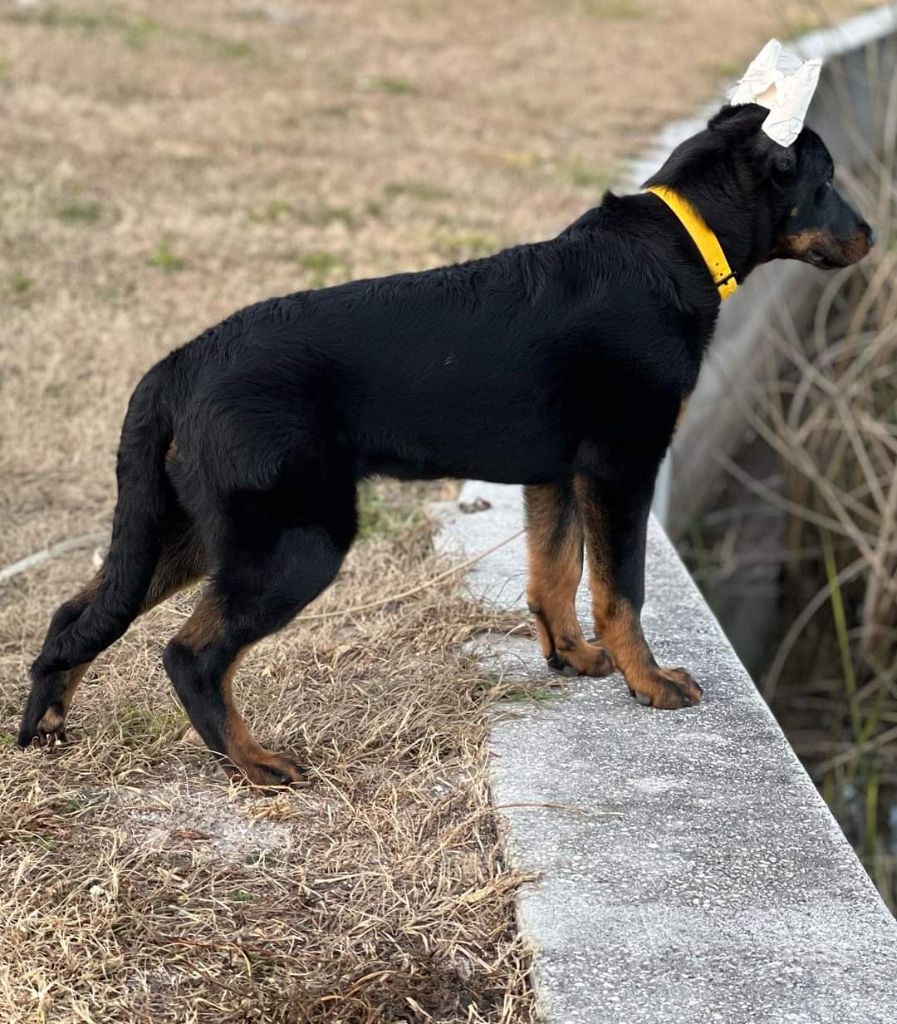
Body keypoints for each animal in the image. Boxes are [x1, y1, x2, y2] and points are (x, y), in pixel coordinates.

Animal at [17, 103, 872, 782]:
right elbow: (619, 588)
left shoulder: (557, 477)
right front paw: (650, 684)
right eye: (826, 179)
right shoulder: (622, 467)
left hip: (189, 528)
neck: (678, 247)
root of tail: (178, 363)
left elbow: (554, 573)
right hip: (295, 539)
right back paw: (255, 765)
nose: (868, 235)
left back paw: (46, 728)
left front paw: (570, 658)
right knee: (192, 655)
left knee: (75, 615)